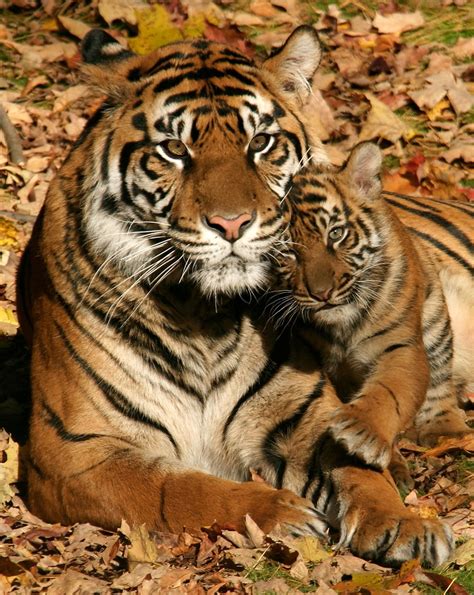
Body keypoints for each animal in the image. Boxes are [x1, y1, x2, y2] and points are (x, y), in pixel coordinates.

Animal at [17, 29, 452, 568]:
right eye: (174, 149)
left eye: (260, 142)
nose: (232, 224)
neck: (201, 313)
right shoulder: (73, 452)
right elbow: (179, 490)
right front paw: (283, 512)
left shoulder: (305, 412)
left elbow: (356, 472)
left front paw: (405, 524)